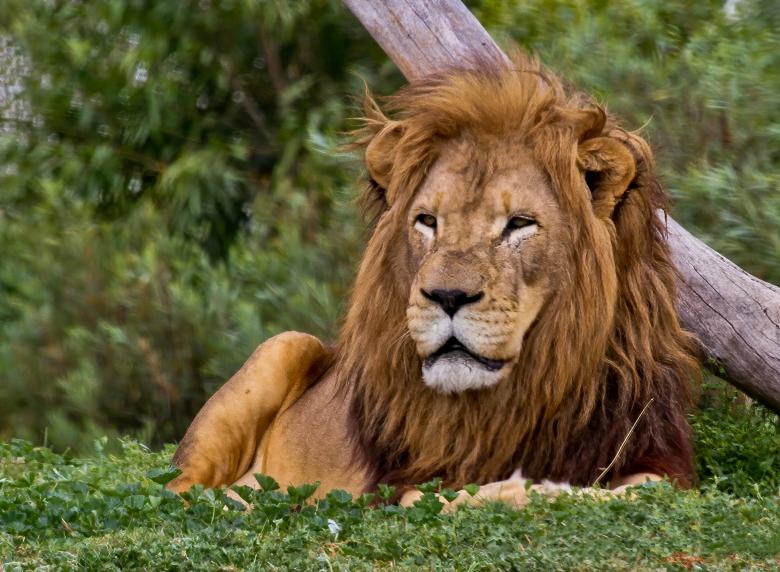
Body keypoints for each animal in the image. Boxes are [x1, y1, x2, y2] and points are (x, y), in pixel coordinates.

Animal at [168, 58, 699, 508]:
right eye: (427, 221)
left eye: (519, 224)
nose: (447, 296)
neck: (526, 390)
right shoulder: (401, 483)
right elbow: (465, 496)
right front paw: (526, 489)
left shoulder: (656, 457)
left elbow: (642, 490)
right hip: (284, 346)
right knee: (178, 490)